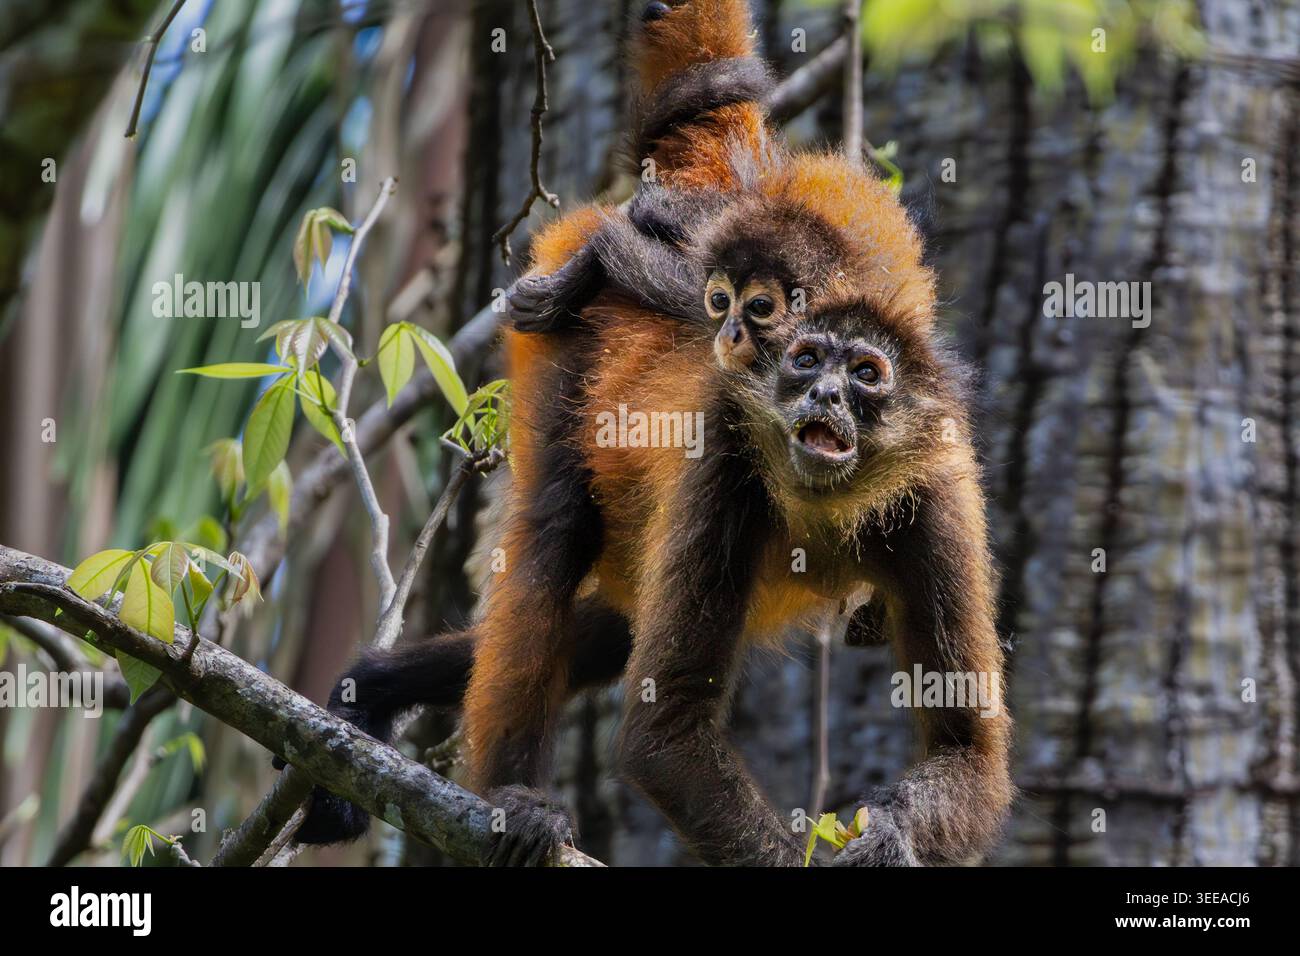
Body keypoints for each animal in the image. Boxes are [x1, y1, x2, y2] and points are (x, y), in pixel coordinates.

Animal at [289, 0, 1012, 867]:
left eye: (866, 376)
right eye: (806, 362)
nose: (827, 391)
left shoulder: (936, 493)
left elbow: (970, 755)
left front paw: (888, 840)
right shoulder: (725, 461)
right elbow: (661, 739)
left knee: (608, 630)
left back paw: (369, 691)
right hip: (570, 344)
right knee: (557, 533)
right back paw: (506, 798)